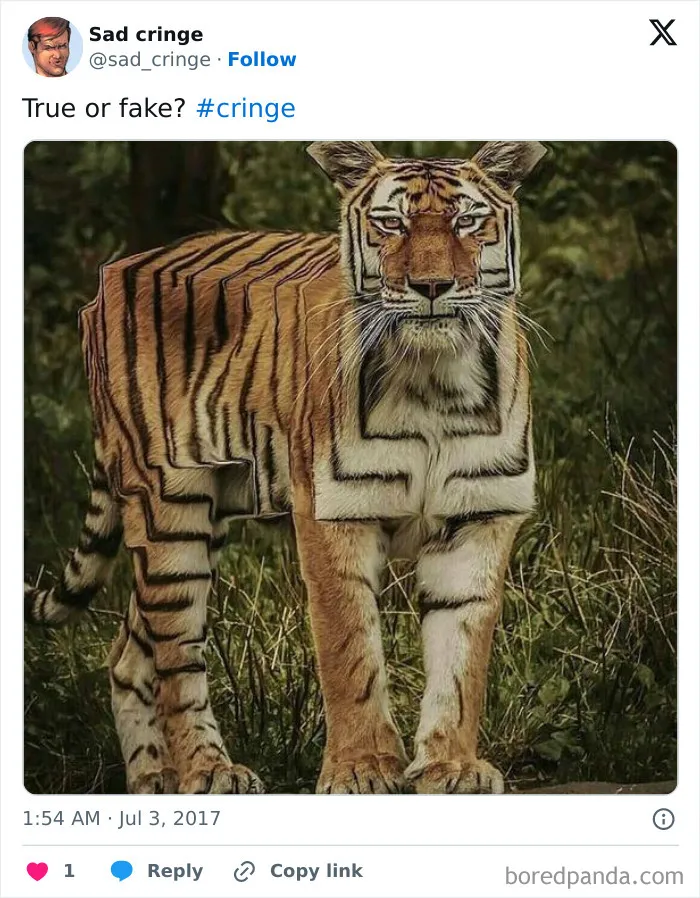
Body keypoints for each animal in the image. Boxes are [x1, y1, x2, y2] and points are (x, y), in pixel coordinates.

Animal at [25, 140, 547, 795]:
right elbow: (350, 652)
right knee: (175, 653)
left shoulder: (481, 517)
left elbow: (462, 661)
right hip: (169, 508)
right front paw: (362, 771)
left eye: (468, 222)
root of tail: (118, 270)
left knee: (128, 656)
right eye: (390, 223)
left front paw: (451, 768)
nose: (432, 285)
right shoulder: (332, 514)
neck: (436, 381)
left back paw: (154, 782)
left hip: (205, 514)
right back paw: (209, 772)